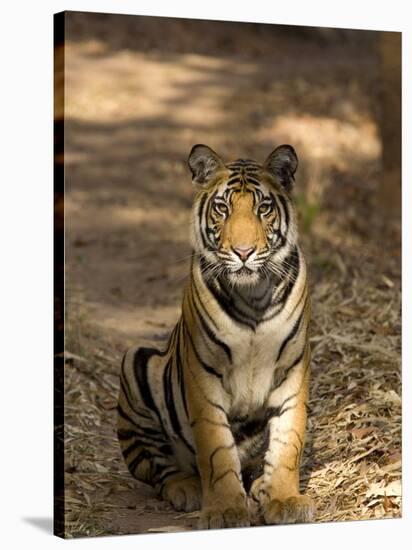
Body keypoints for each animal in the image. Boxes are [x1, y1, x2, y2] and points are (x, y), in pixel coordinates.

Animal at [117, 144, 314, 532]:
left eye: (263, 208)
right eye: (223, 208)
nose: (243, 252)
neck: (253, 296)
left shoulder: (292, 371)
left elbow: (288, 443)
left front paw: (284, 499)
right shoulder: (203, 376)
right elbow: (217, 449)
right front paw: (224, 510)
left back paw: (260, 487)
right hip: (136, 362)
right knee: (158, 468)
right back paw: (188, 489)